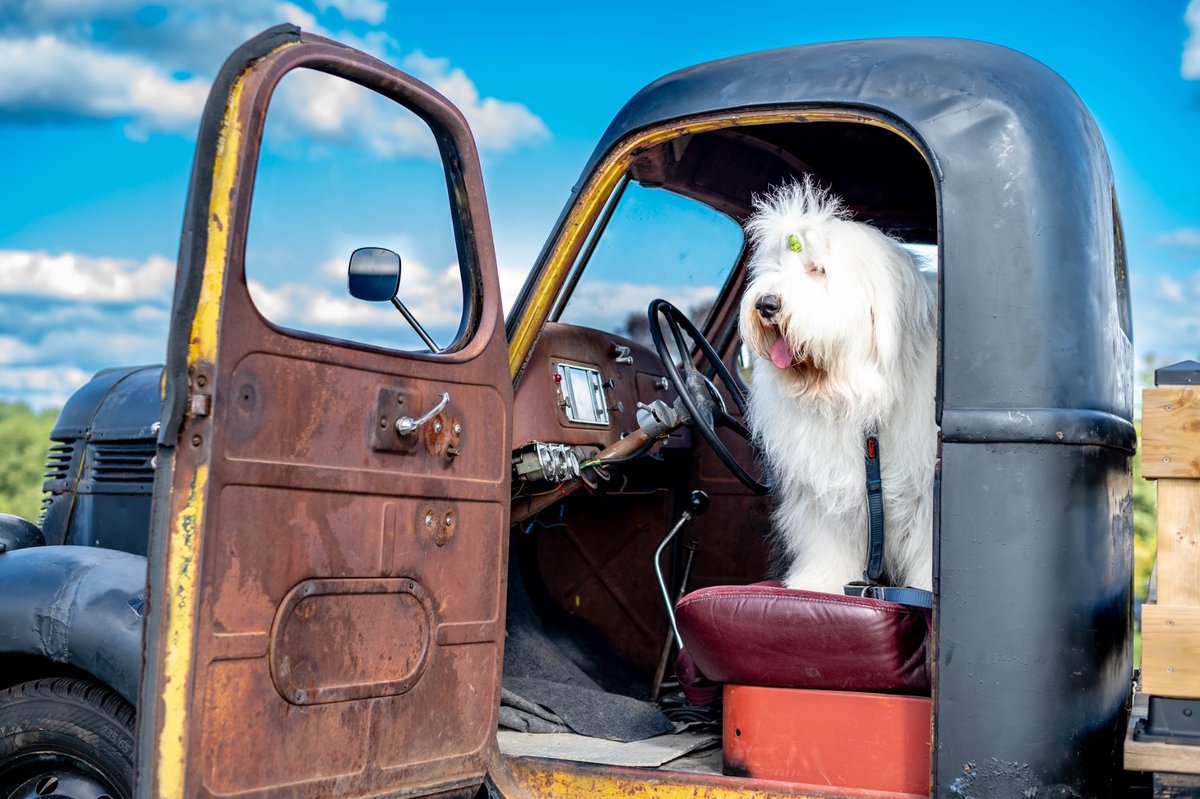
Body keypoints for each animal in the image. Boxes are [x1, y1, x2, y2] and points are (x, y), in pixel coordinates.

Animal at [739, 178, 936, 590]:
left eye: (818, 270)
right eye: (774, 267)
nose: (766, 304)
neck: (851, 387)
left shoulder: (927, 487)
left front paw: (929, 591)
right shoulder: (824, 486)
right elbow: (829, 538)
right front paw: (819, 583)